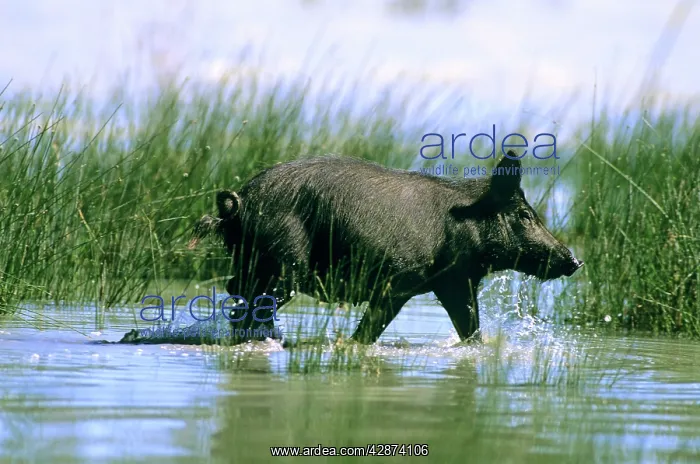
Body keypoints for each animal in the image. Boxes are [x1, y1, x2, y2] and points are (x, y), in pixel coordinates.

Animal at [189, 152, 583, 344]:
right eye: (525, 214)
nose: (575, 260)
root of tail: (239, 202)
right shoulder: (398, 281)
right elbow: (370, 330)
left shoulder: (455, 282)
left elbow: (470, 329)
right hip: (283, 262)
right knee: (250, 304)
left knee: (235, 293)